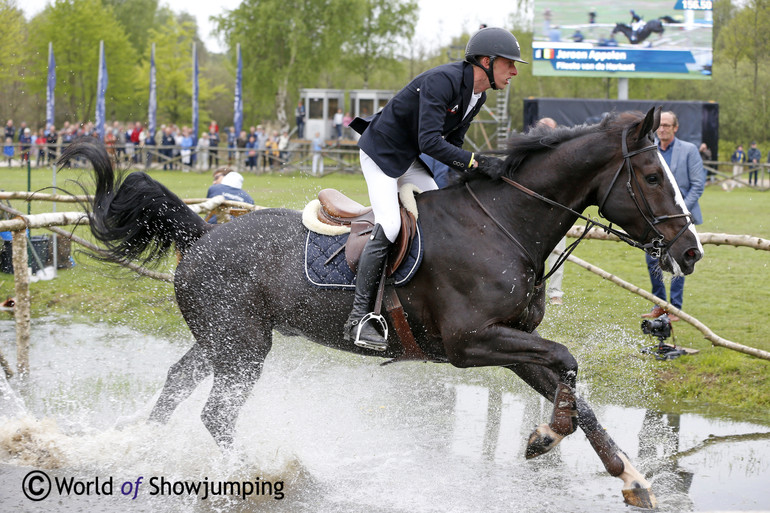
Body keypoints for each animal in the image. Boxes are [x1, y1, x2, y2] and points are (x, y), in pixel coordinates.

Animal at [63, 106, 704, 506]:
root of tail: (200, 235)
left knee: (175, 386)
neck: (502, 226)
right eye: (652, 175)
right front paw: (546, 438)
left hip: (222, 340)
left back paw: (144, 451)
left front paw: (631, 479)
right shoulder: (472, 343)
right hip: (243, 347)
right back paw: (264, 477)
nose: (690, 251)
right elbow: (569, 362)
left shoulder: (513, 343)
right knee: (217, 414)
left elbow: (576, 389)